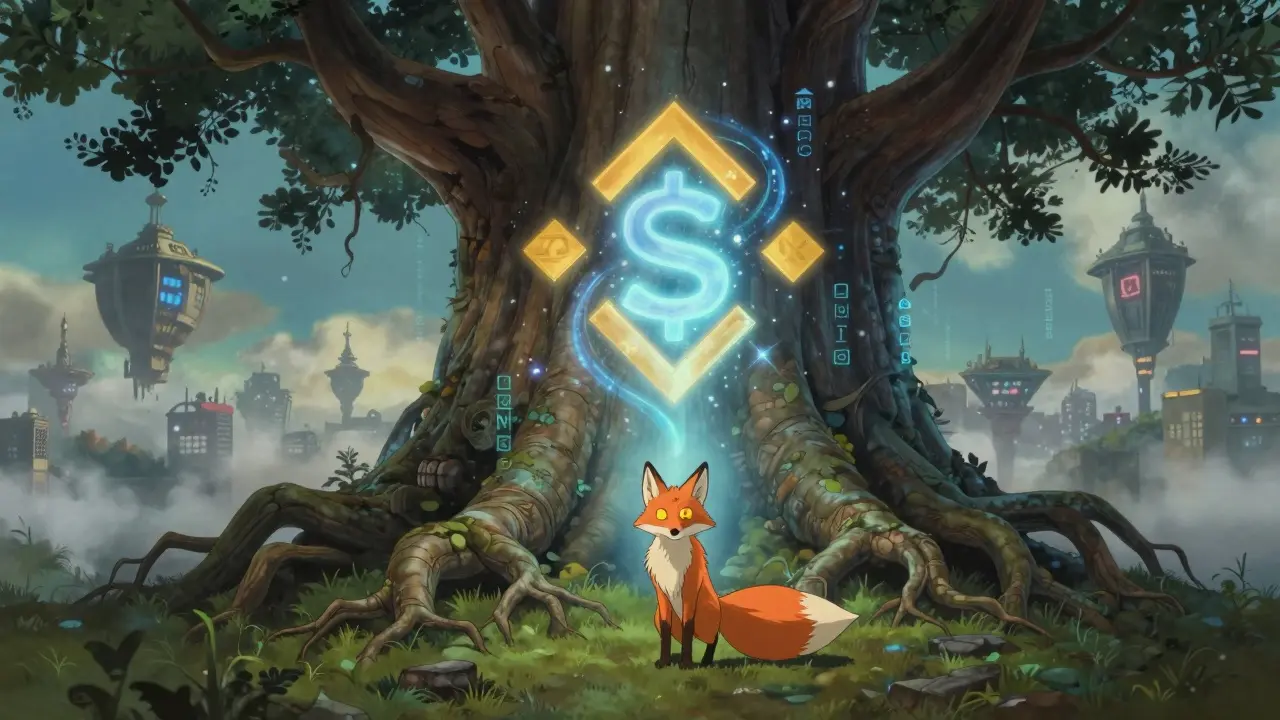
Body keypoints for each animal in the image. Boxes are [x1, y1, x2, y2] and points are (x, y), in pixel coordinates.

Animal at [634, 461, 859, 669]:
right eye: (661, 514)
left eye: (686, 514)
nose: (674, 531)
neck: (672, 563)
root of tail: (720, 603)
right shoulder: (662, 595)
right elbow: (666, 631)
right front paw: (664, 662)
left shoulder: (690, 591)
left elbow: (688, 629)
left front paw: (687, 664)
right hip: (659, 617)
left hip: (705, 619)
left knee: (712, 638)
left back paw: (705, 662)